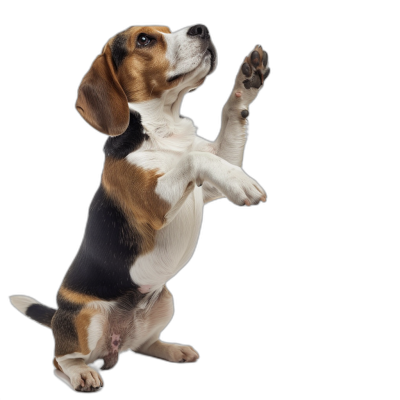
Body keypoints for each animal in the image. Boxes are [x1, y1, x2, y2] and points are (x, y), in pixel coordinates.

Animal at [10, 23, 272, 392]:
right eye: (145, 39)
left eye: (167, 30)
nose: (202, 28)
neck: (165, 127)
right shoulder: (153, 202)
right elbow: (196, 158)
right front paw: (240, 182)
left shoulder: (208, 180)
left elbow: (227, 128)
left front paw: (247, 79)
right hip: (88, 317)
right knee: (60, 360)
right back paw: (81, 373)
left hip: (165, 300)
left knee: (144, 345)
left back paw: (173, 350)